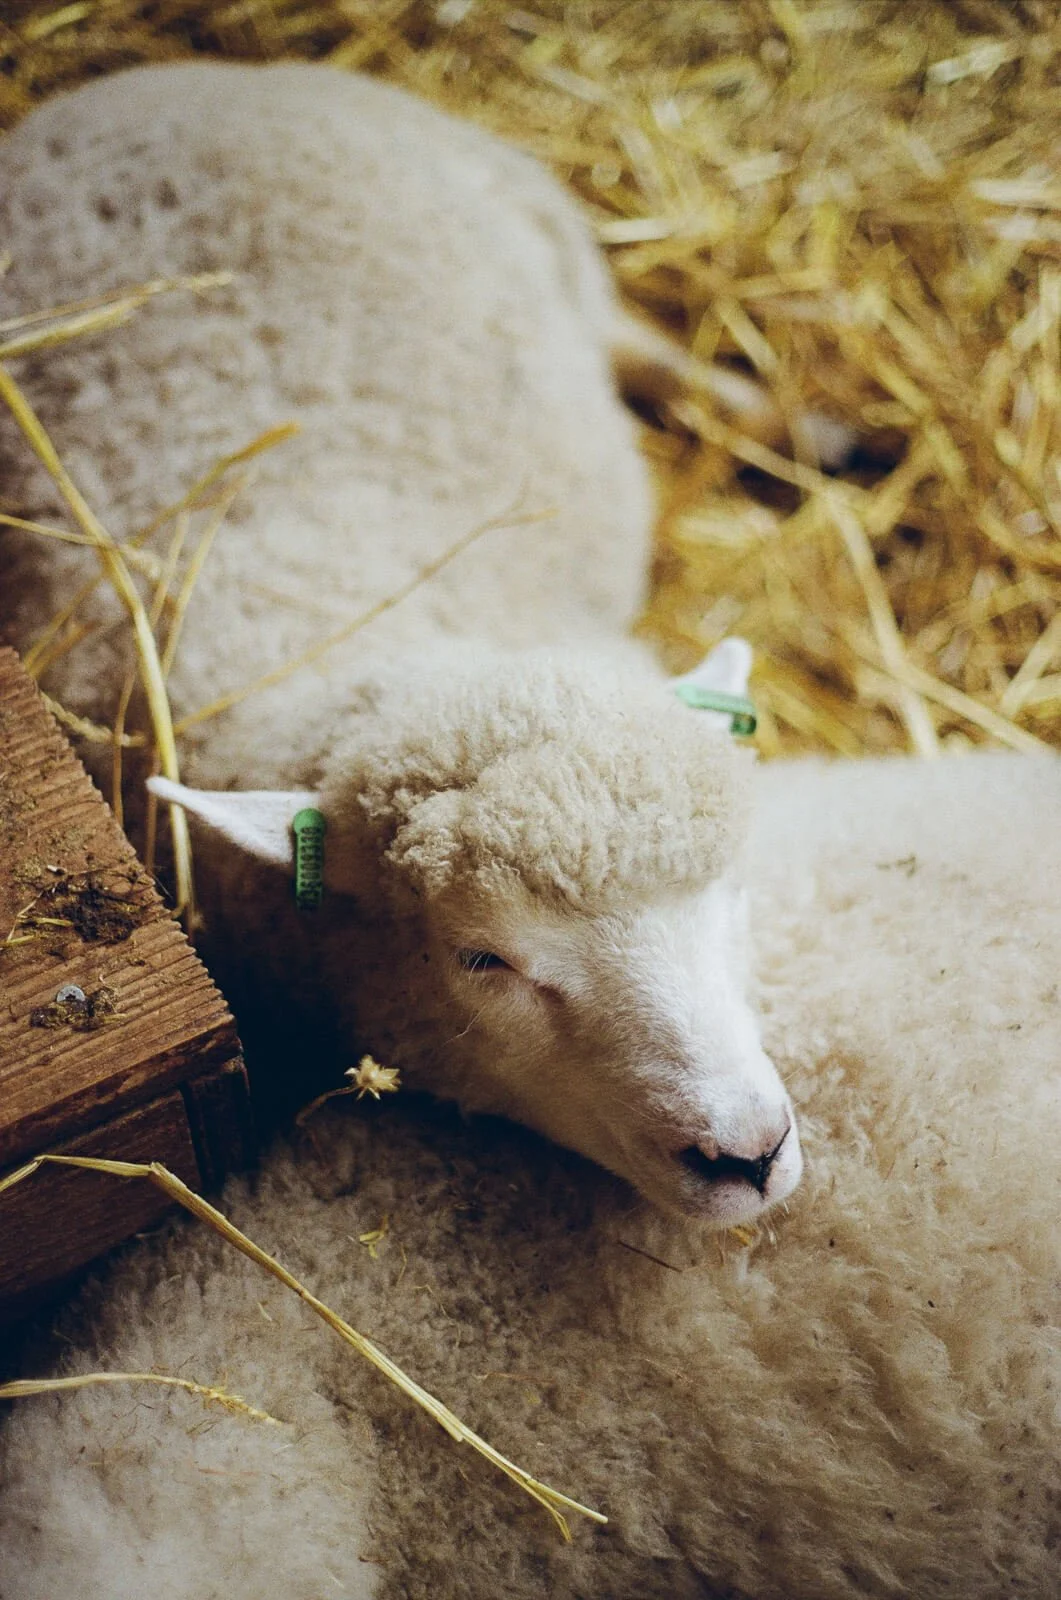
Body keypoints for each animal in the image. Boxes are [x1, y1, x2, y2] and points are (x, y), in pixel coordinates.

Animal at [0, 61, 803, 1225]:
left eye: (732, 885)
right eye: (481, 957)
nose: (746, 1151)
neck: (355, 620)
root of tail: (143, 86)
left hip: (547, 229)